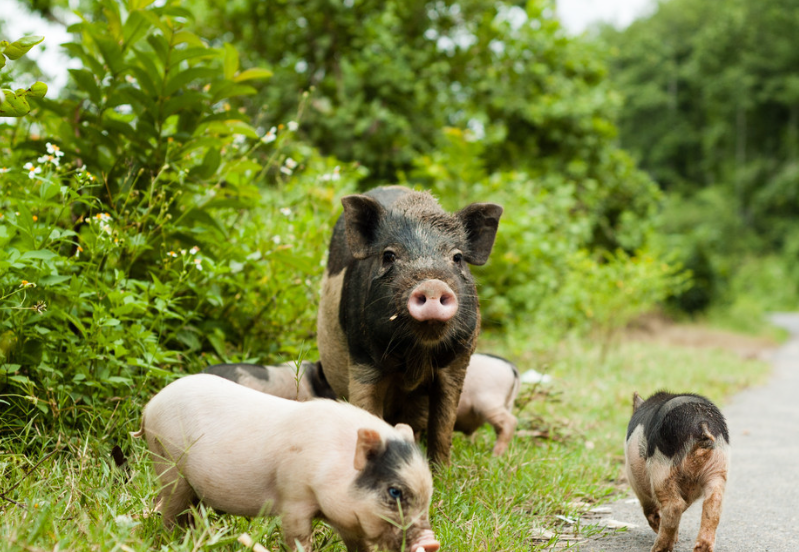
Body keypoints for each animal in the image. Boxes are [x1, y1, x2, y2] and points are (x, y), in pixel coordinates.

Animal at [134, 376, 440, 552]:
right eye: (394, 492)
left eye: (428, 495)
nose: (431, 541)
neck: (331, 460)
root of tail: (150, 405)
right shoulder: (294, 496)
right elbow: (298, 538)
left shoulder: (347, 516)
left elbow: (360, 544)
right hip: (167, 461)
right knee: (171, 509)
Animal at [318, 184, 500, 462]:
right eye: (389, 255)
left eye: (457, 258)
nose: (432, 284)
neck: (416, 358)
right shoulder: (362, 360)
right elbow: (367, 409)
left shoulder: (457, 363)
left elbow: (443, 425)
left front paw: (441, 470)